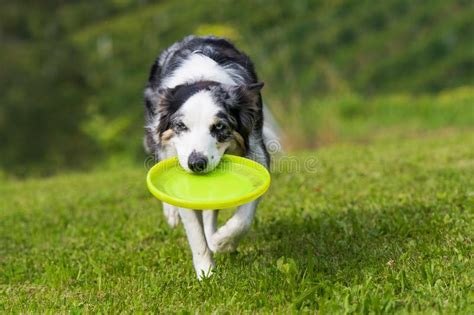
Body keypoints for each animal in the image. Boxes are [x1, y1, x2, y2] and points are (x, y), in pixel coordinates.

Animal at [144, 35, 278, 280]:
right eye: (181, 126)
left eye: (219, 127)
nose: (197, 163)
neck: (202, 78)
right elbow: (194, 232)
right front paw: (206, 273)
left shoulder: (257, 151)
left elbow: (244, 217)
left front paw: (223, 242)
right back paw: (171, 213)